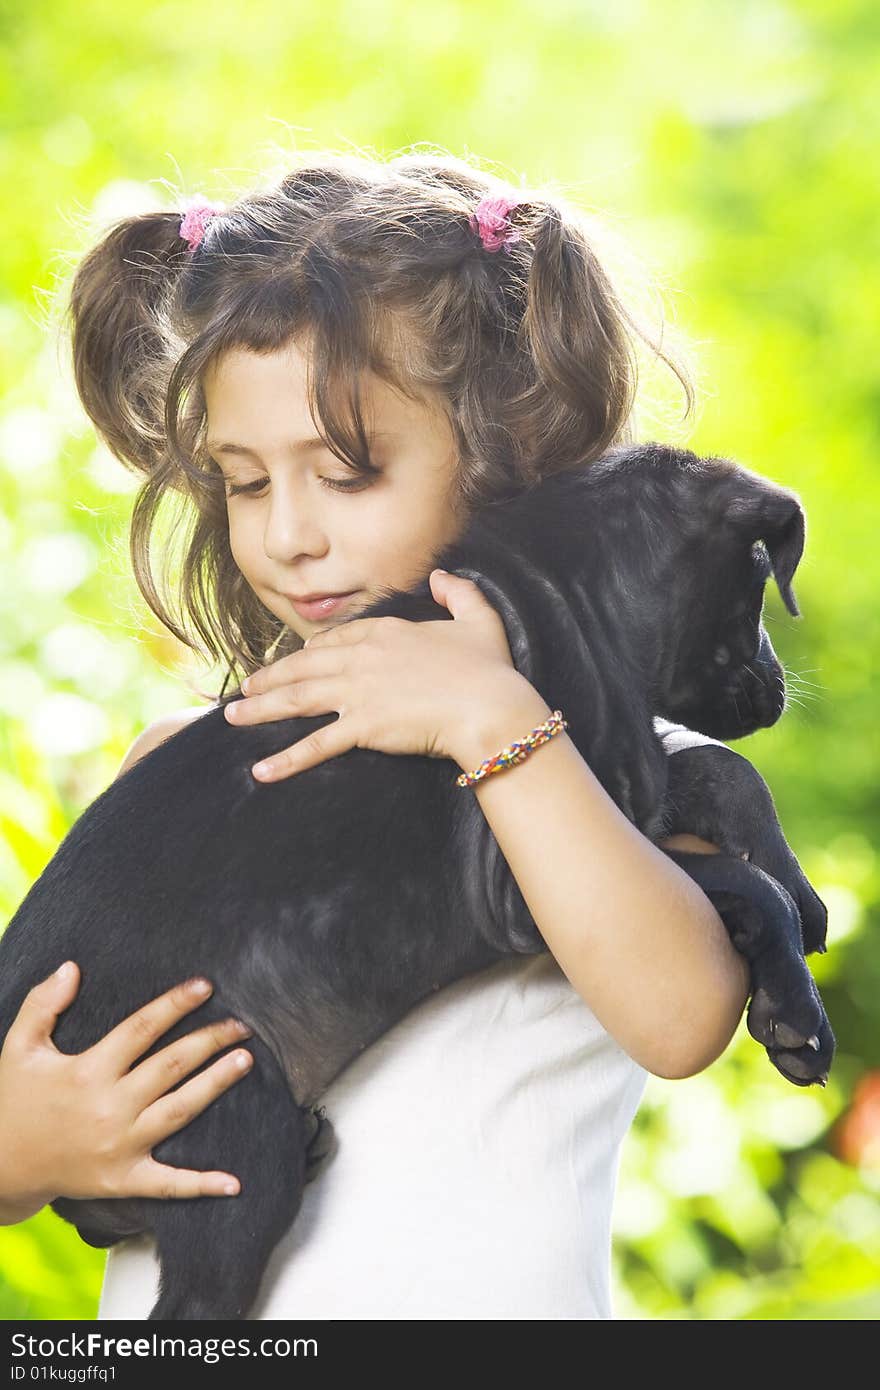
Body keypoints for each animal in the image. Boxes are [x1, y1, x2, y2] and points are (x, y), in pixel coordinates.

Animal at [0, 442, 834, 1312]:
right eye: (759, 587)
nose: (781, 688)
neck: (575, 607)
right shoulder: (526, 893)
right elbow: (739, 875)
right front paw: (795, 1009)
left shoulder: (630, 802)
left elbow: (725, 774)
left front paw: (800, 895)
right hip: (225, 1117)